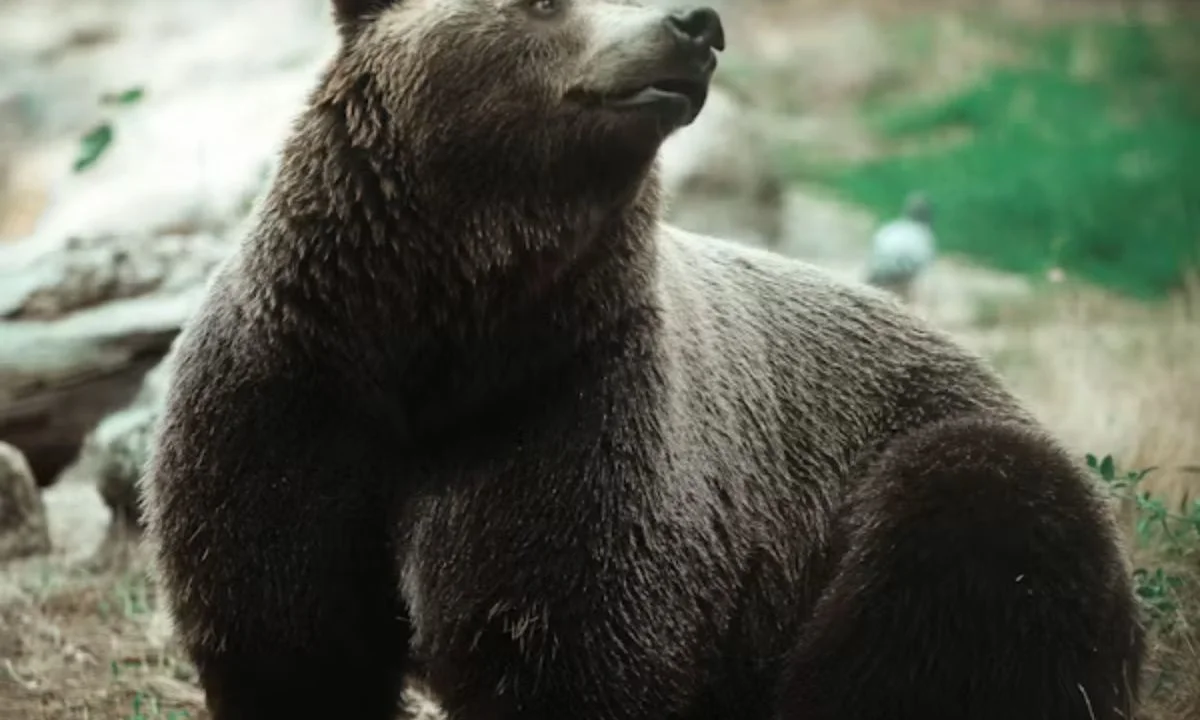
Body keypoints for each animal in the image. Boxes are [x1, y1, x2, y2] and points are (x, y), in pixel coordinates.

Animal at [141, 0, 1145, 719]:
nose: (695, 25)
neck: (433, 347)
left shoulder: (572, 422)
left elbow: (562, 648)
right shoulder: (288, 409)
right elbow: (292, 646)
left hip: (936, 484)